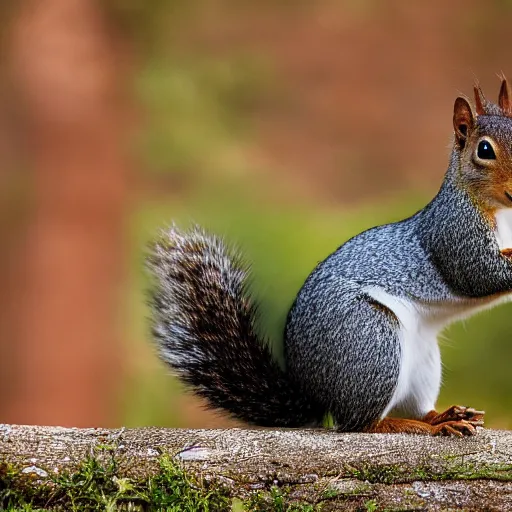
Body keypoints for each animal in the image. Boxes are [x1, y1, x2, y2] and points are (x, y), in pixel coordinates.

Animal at [146, 79, 512, 436]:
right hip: (372, 341)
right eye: (484, 150)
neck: (499, 211)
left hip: (422, 361)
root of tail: (318, 393)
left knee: (410, 407)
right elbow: (479, 273)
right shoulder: (455, 233)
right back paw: (417, 426)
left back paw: (444, 417)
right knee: (360, 424)